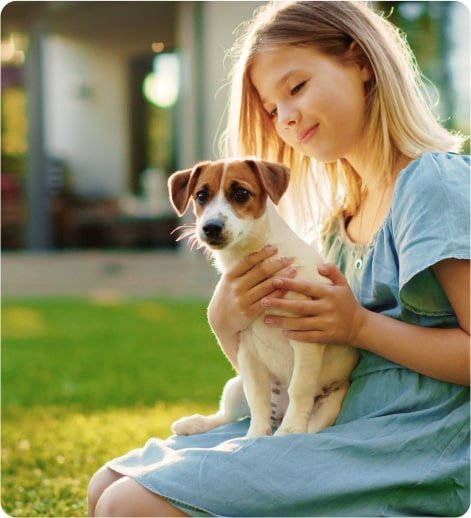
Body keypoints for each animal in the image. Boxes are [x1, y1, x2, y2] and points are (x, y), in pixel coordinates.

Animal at [169, 158, 358, 438]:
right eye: (201, 196)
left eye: (241, 193)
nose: (210, 228)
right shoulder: (247, 350)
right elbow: (257, 398)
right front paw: (256, 437)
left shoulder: (306, 339)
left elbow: (299, 387)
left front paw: (290, 429)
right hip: (234, 387)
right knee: (229, 414)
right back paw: (194, 423)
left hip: (329, 406)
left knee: (308, 421)